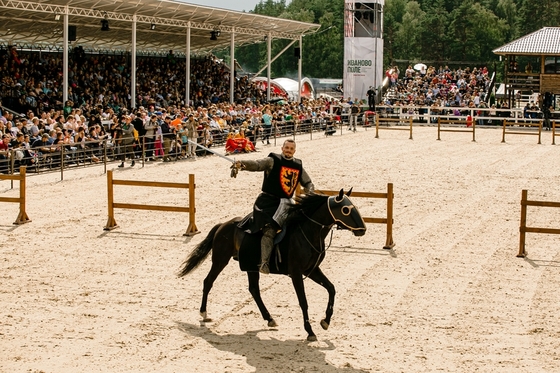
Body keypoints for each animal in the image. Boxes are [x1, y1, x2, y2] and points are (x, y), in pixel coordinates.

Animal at [177, 189, 366, 340]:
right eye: (346, 210)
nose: (362, 229)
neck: (307, 232)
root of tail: (223, 225)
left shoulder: (312, 270)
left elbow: (331, 289)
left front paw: (325, 321)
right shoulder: (296, 273)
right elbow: (303, 301)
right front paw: (310, 331)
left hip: (250, 266)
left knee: (254, 290)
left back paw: (269, 318)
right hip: (220, 260)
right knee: (208, 281)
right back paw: (204, 313)